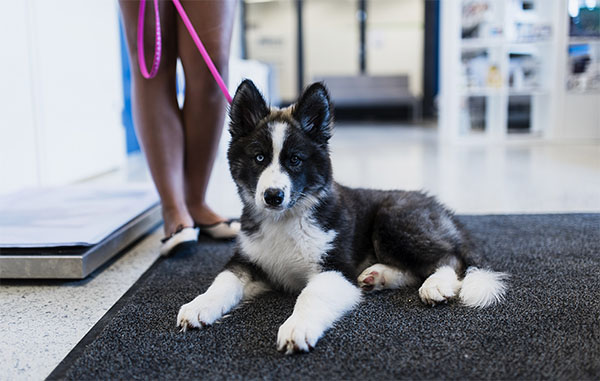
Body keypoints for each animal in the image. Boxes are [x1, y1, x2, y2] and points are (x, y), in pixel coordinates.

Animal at [177, 79, 506, 354]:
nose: (273, 196)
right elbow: (224, 281)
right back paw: (377, 277)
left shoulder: (335, 267)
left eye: (295, 160)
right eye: (259, 157)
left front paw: (297, 327)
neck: (286, 219)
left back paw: (436, 284)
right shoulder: (249, 260)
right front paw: (199, 306)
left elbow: (311, 295)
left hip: (394, 220)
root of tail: (441, 208)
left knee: (448, 257)